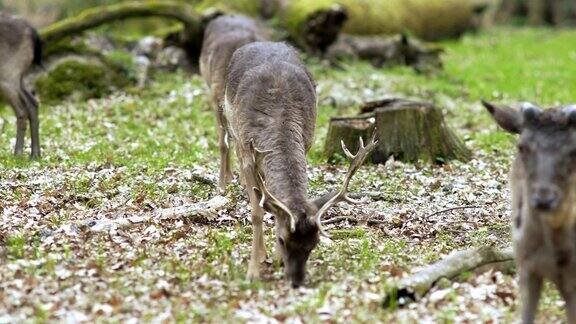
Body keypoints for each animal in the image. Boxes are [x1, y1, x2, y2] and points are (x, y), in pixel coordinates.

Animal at [0, 12, 42, 159]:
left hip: (8, 74)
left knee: (22, 110)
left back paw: (18, 154)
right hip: (18, 77)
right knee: (32, 103)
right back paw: (35, 154)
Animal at [223, 41, 376, 288]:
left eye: (314, 244)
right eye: (282, 240)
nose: (297, 281)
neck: (279, 114)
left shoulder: (307, 144)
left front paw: (275, 261)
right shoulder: (246, 153)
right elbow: (256, 214)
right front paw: (253, 272)